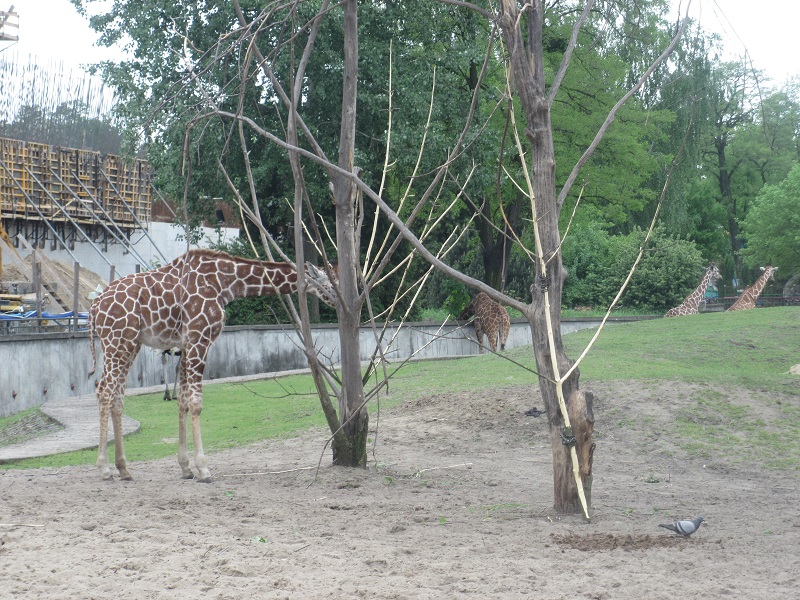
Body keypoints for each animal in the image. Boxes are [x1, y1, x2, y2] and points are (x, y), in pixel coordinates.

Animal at [87, 249, 336, 482]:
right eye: (332, 282)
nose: (337, 299)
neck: (226, 283)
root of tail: (94, 306)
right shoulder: (200, 338)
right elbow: (196, 403)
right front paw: (204, 469)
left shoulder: (186, 344)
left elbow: (183, 402)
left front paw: (186, 468)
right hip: (117, 341)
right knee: (104, 391)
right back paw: (104, 469)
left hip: (131, 344)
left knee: (117, 398)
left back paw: (124, 469)